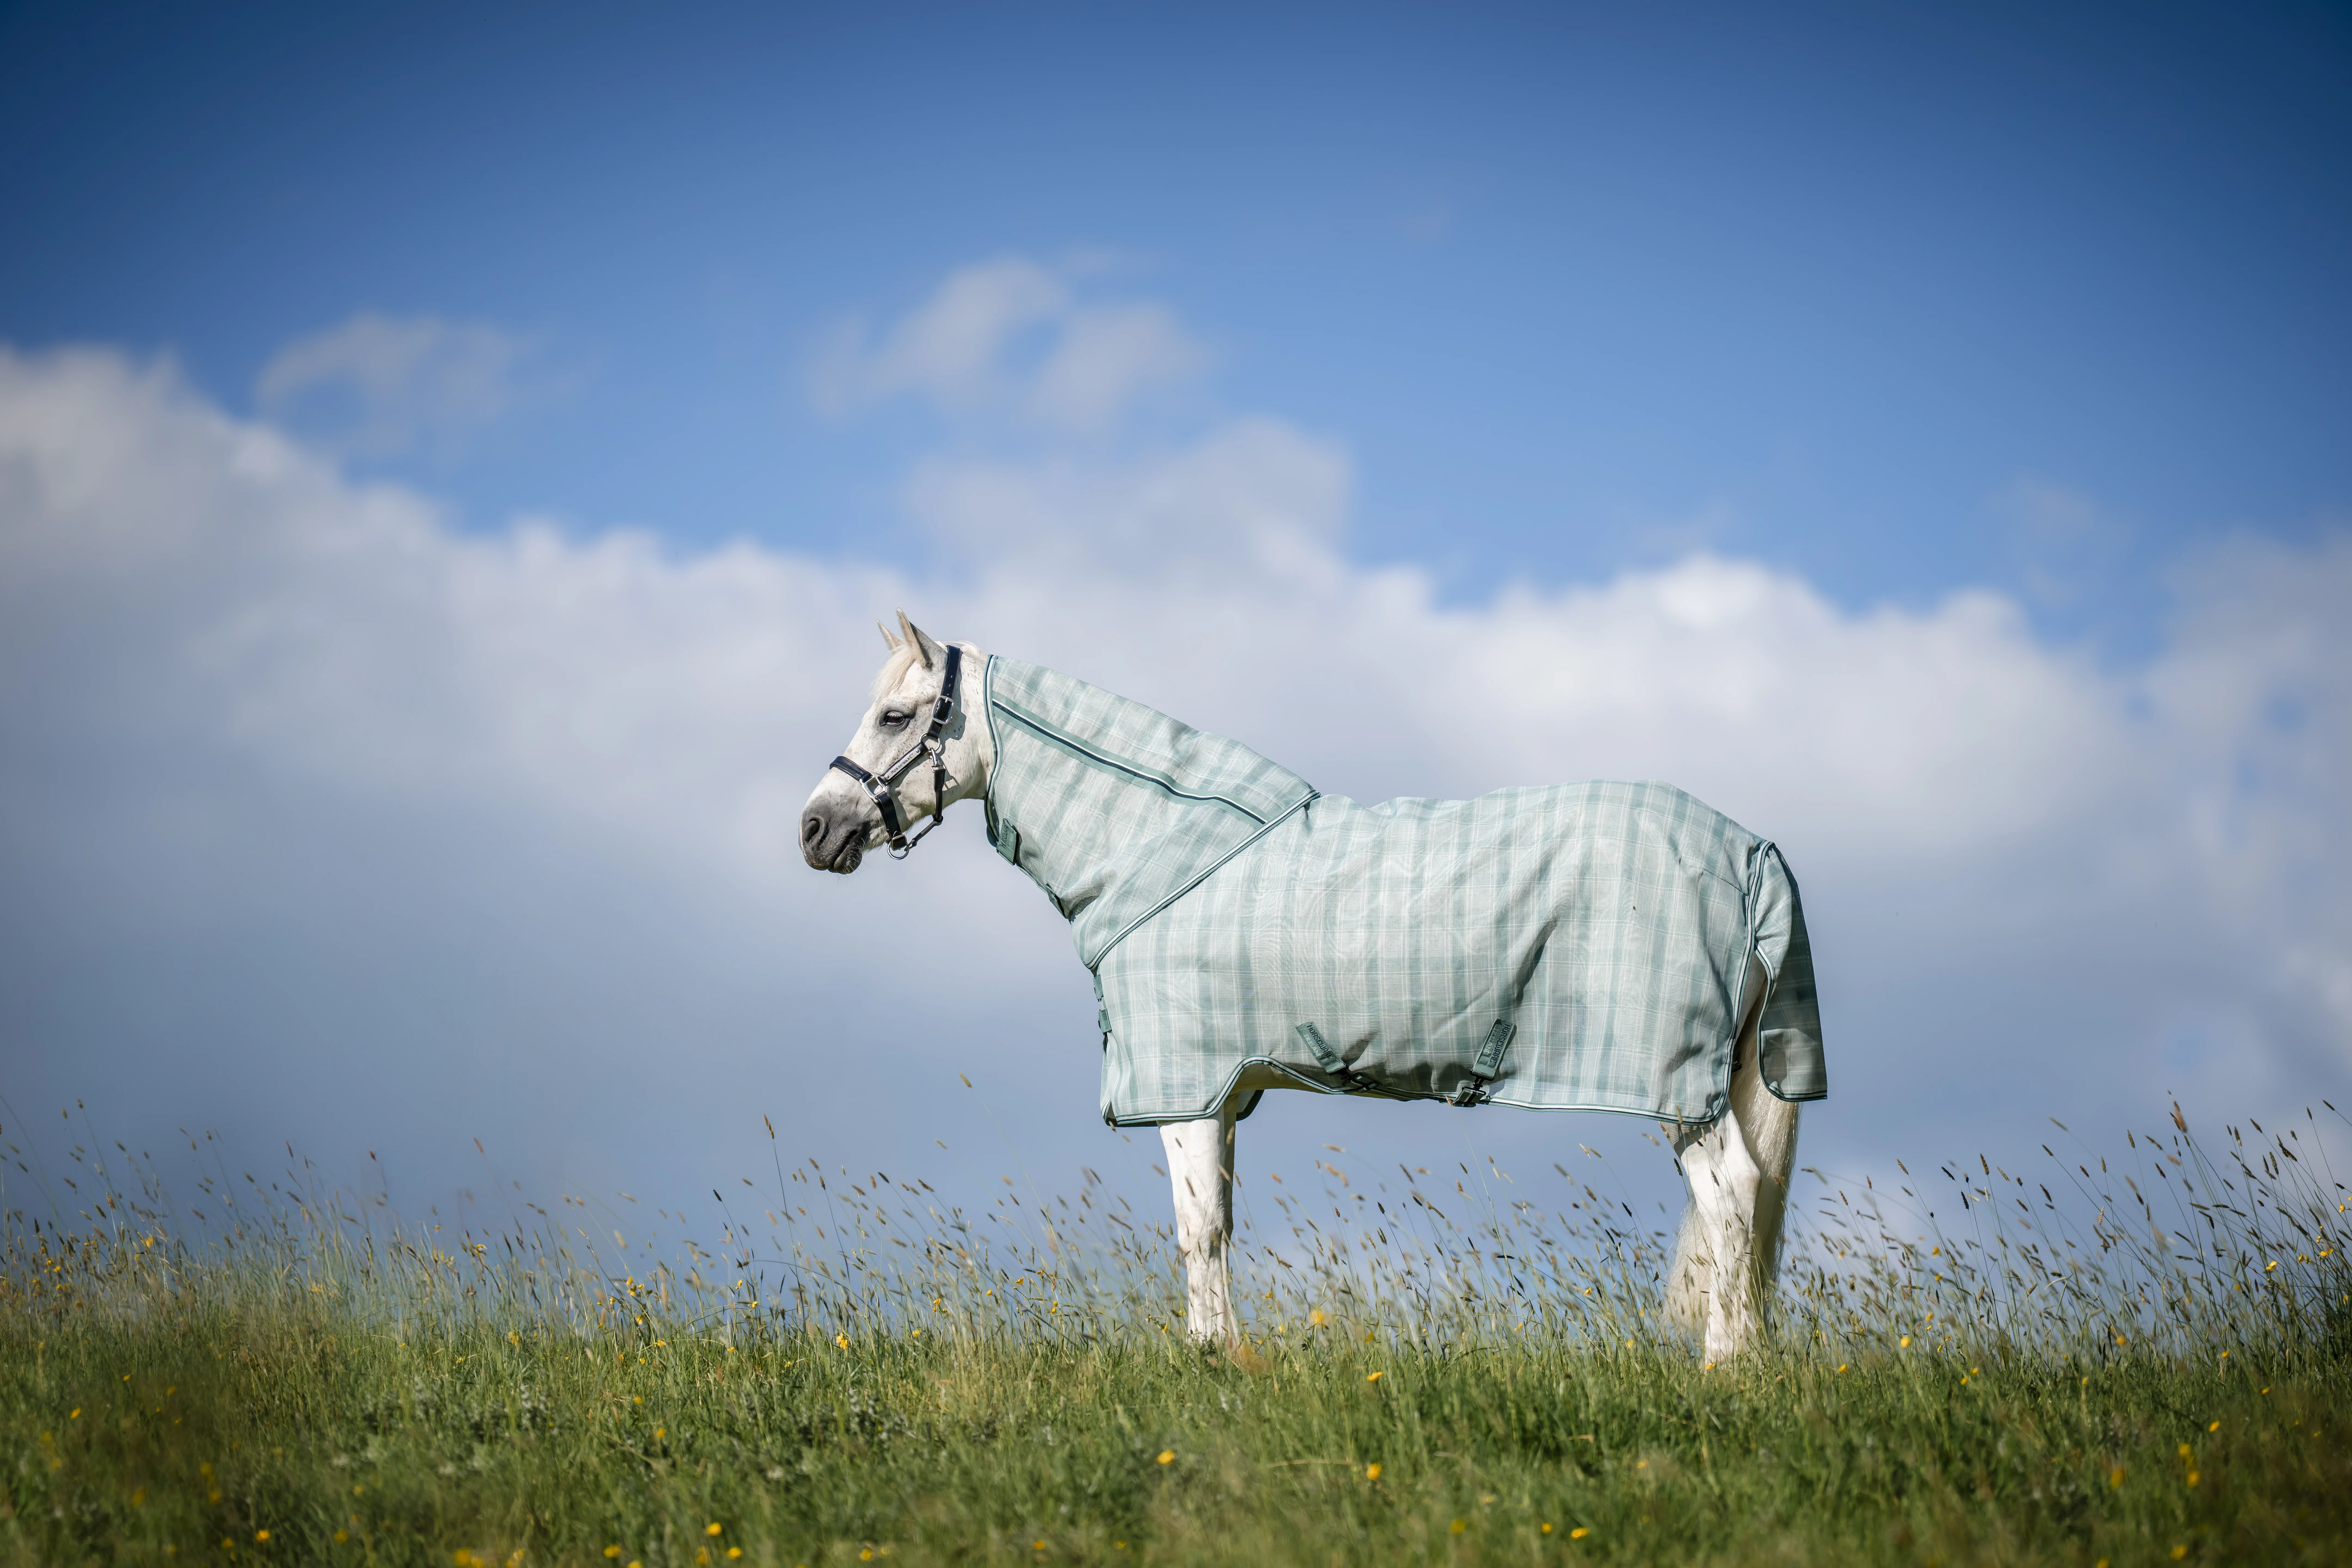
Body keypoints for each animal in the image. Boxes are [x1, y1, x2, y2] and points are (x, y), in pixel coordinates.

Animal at [800, 613, 1824, 1361]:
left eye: (896, 718)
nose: (816, 829)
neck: (1163, 851)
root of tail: (1748, 850)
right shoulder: (1226, 1094)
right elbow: (1219, 1223)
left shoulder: (1183, 1088)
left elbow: (1196, 1232)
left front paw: (1209, 1359)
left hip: (1677, 1089)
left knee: (1733, 1196)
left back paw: (1725, 1366)